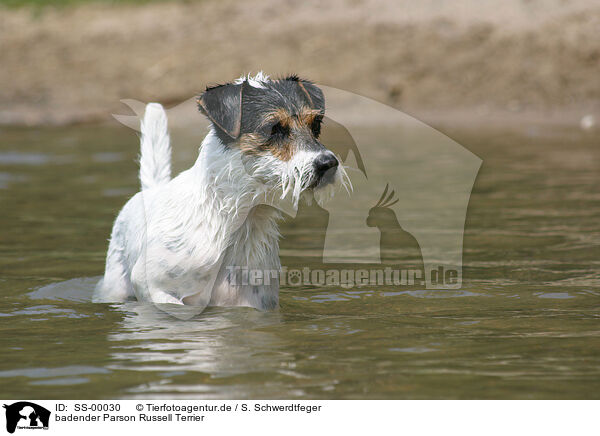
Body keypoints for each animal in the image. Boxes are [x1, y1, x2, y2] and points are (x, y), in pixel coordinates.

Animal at [91, 72, 350, 310]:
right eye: (274, 128)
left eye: (316, 125)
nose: (328, 163)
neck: (234, 223)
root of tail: (152, 189)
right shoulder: (153, 287)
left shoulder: (254, 304)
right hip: (115, 284)